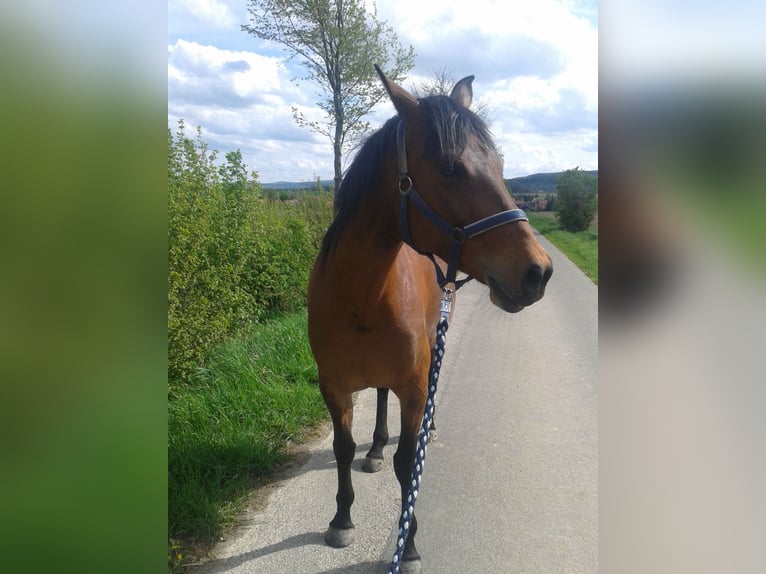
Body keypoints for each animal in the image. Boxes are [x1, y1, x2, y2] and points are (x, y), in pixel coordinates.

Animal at [306, 67, 552, 572]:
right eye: (450, 168)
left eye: (499, 165)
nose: (537, 271)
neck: (359, 295)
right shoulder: (333, 385)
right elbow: (342, 448)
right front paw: (341, 519)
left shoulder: (416, 385)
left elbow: (407, 463)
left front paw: (411, 543)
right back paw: (374, 447)